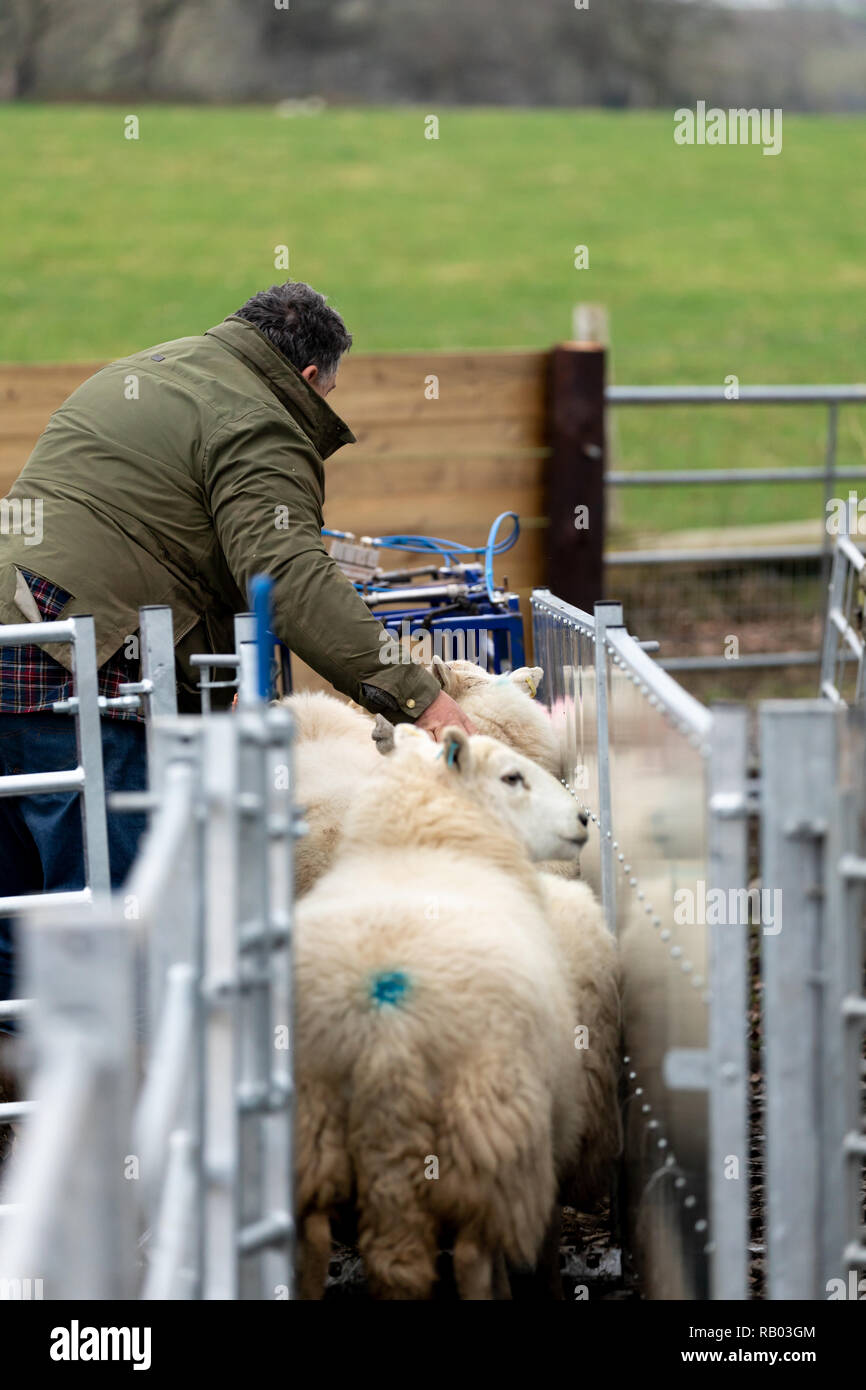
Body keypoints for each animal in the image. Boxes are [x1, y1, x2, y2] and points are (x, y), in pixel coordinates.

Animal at [294, 724, 591, 1300]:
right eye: (512, 777)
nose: (584, 818)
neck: (419, 847)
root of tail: (386, 1036)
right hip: (490, 1128)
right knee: (476, 1253)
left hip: (309, 1124)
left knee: (312, 1242)